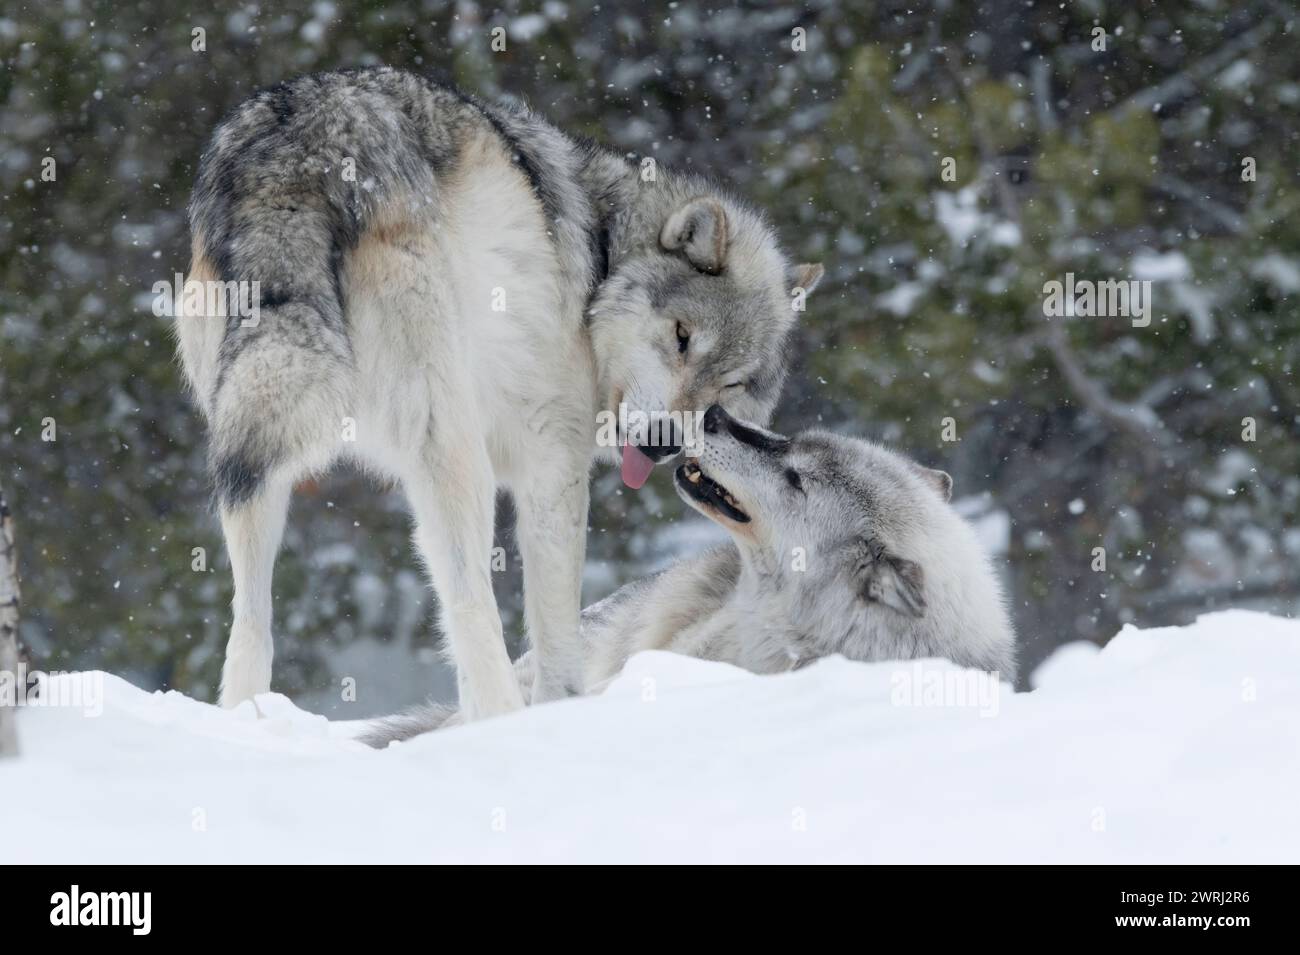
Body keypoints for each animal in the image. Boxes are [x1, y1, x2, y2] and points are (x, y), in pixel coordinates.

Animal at [175, 68, 822, 718]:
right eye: (682, 337)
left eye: (731, 383)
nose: (664, 443)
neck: (601, 257)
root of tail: (298, 147)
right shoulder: (553, 466)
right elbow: (557, 634)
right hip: (451, 449)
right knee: (469, 603)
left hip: (252, 432)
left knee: (251, 617)